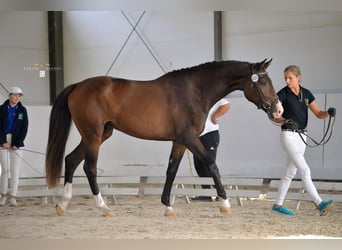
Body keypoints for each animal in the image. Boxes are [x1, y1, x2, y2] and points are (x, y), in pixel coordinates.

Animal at [44, 58, 284, 217]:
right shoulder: (189, 138)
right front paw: (225, 203)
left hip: (100, 134)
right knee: (89, 168)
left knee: (71, 160)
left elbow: (171, 170)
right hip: (93, 136)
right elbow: (212, 165)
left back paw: (62, 205)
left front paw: (168, 205)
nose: (277, 109)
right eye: (263, 82)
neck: (194, 91)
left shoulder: (179, 142)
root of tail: (78, 86)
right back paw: (104, 207)